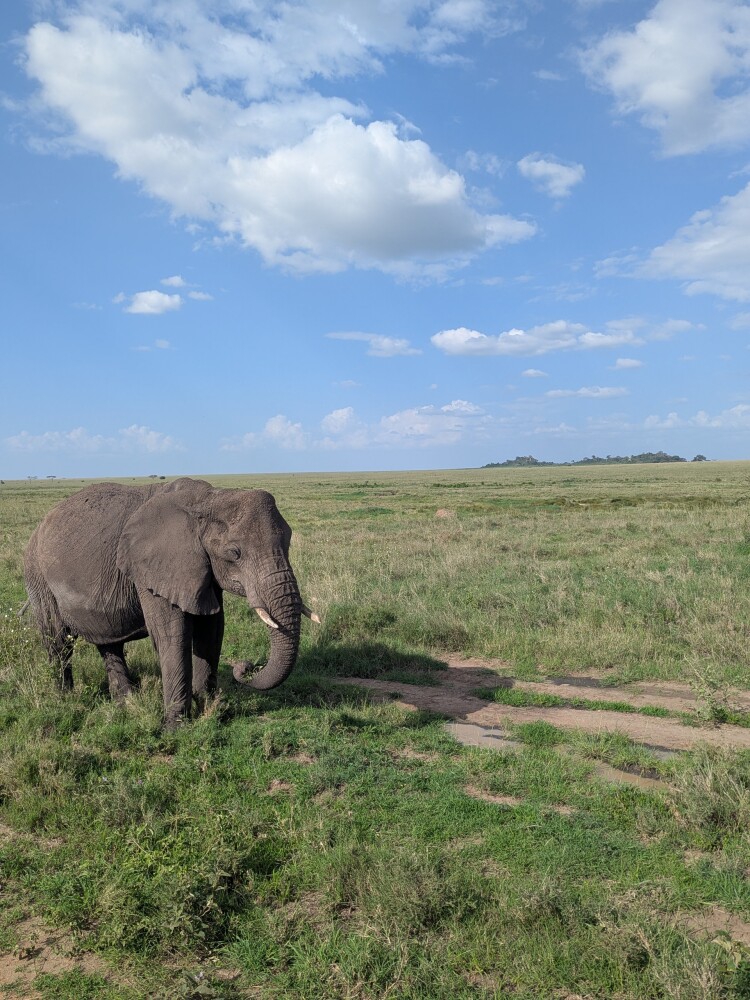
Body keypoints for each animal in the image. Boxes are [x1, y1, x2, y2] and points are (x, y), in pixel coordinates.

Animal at [23, 477, 318, 726]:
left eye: (289, 542)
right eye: (235, 553)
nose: (244, 667)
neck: (210, 499)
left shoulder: (202, 568)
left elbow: (212, 630)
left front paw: (212, 710)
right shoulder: (152, 569)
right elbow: (172, 635)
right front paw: (176, 727)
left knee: (108, 641)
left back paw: (126, 704)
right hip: (37, 574)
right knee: (57, 639)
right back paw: (66, 700)